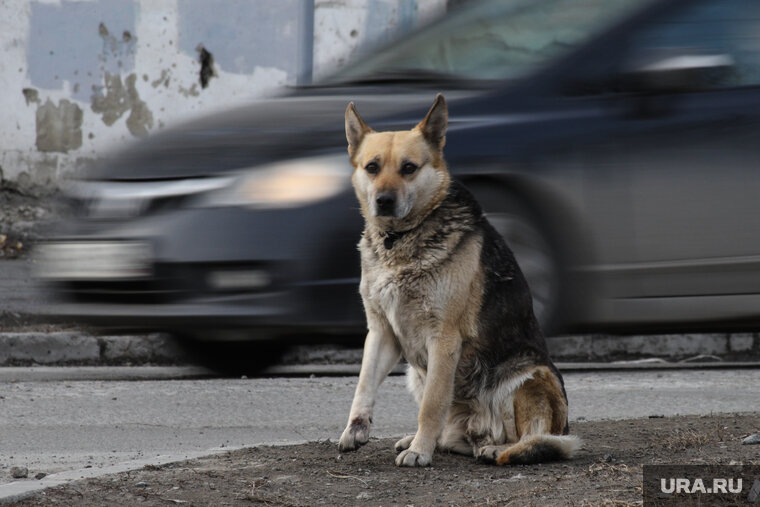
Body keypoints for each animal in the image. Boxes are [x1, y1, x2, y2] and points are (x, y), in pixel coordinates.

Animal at [336, 95, 580, 468]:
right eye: (372, 167)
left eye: (409, 168)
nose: (384, 201)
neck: (400, 241)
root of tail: (478, 428)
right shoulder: (381, 333)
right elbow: (363, 386)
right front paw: (357, 428)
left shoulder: (443, 338)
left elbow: (432, 404)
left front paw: (420, 451)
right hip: (416, 374)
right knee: (458, 437)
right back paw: (445, 441)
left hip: (532, 376)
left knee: (533, 438)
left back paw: (493, 448)